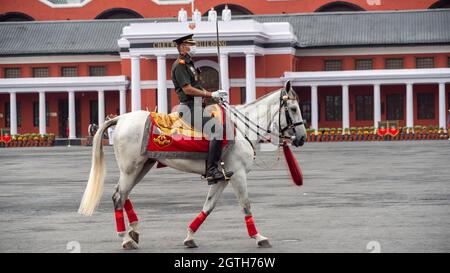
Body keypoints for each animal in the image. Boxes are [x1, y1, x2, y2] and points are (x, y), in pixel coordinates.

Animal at [79, 81, 308, 249]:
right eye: (293, 108)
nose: (303, 138)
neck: (242, 128)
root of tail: (121, 118)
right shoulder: (238, 175)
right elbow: (245, 205)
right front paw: (259, 237)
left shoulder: (223, 177)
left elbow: (209, 206)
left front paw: (189, 235)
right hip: (131, 168)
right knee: (118, 196)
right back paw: (125, 238)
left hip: (142, 165)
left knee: (123, 193)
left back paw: (133, 230)